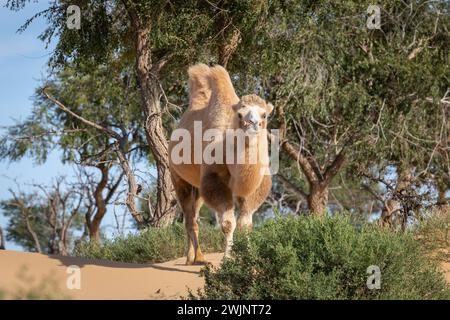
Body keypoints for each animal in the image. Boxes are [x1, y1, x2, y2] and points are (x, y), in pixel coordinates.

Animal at [169, 63, 272, 264]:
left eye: (264, 114)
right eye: (240, 114)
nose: (253, 123)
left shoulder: (255, 186)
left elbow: (245, 224)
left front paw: (249, 257)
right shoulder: (214, 180)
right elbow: (227, 223)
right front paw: (228, 259)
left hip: (197, 187)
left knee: (192, 214)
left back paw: (191, 257)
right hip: (178, 178)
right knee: (189, 218)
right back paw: (198, 258)